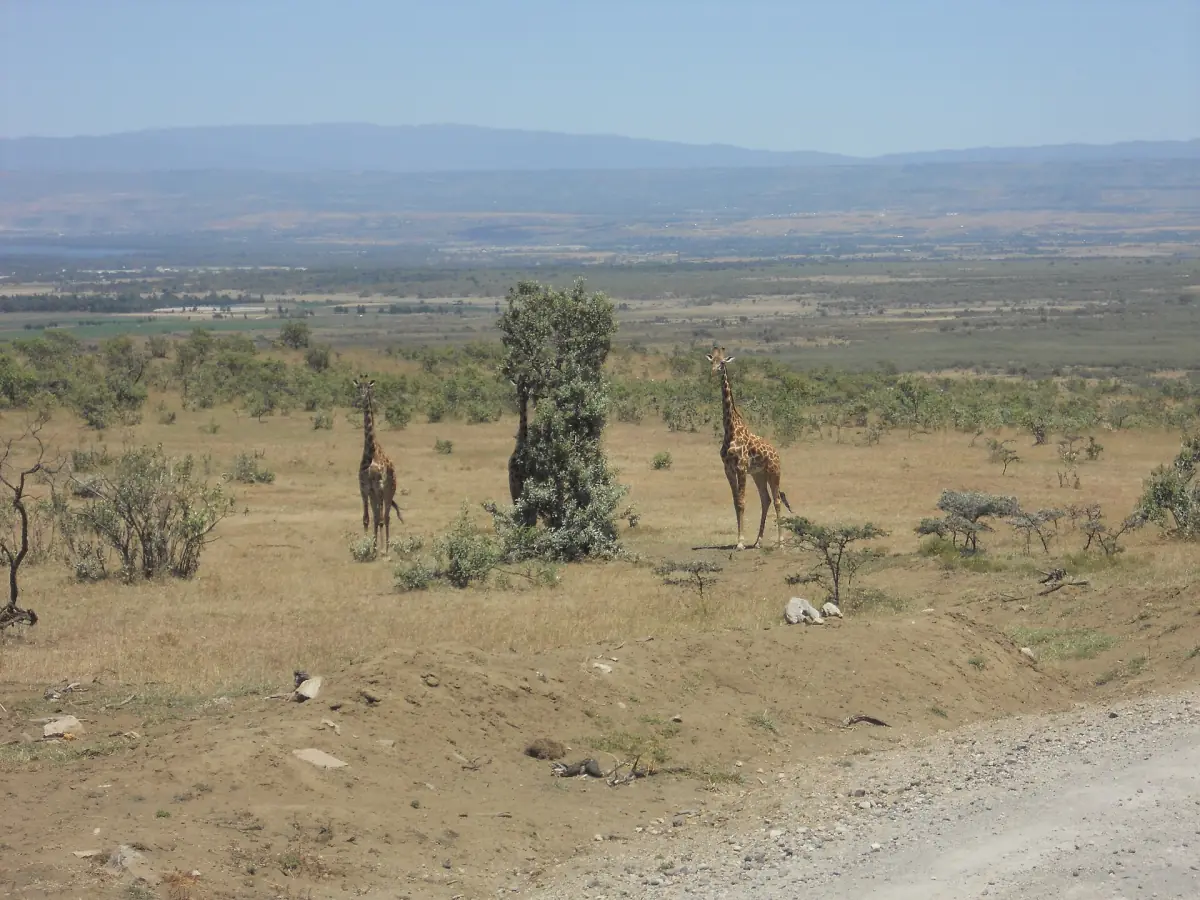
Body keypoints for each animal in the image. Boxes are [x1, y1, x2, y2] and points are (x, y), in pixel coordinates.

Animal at [354, 376, 403, 555]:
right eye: (358, 387)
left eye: (368, 388)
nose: (362, 396)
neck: (371, 452)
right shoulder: (364, 488)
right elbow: (366, 519)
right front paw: (366, 547)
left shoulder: (380, 487)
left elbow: (381, 519)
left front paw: (382, 550)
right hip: (374, 494)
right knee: (377, 517)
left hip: (388, 491)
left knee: (386, 517)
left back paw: (386, 549)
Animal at [707, 346, 794, 550]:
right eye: (712, 361)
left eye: (722, 363)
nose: (713, 372)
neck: (730, 429)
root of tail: (776, 453)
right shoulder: (728, 469)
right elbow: (735, 502)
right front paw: (740, 540)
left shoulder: (741, 467)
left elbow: (742, 501)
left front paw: (740, 542)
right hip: (758, 474)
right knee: (766, 499)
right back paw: (757, 542)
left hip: (774, 472)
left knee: (777, 500)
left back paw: (780, 542)